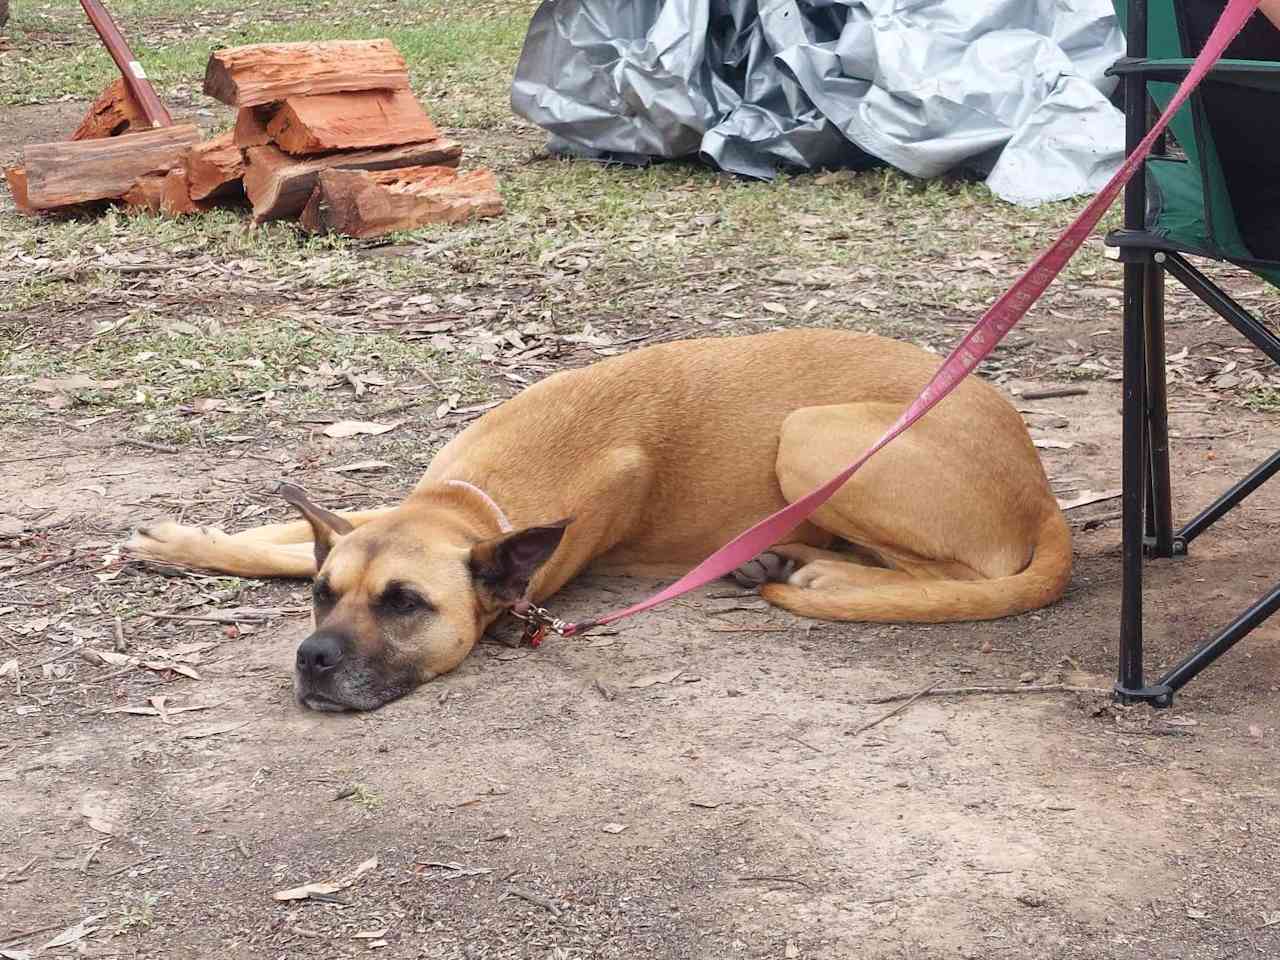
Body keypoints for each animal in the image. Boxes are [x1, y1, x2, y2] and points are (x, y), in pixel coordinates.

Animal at [127, 330, 1070, 716]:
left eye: (405, 606)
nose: (313, 659)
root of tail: (1042, 487)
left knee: (958, 576)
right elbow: (281, 543)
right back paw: (778, 555)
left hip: (814, 432)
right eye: (326, 598)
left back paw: (822, 570)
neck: (468, 501)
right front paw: (184, 542)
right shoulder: (376, 514)